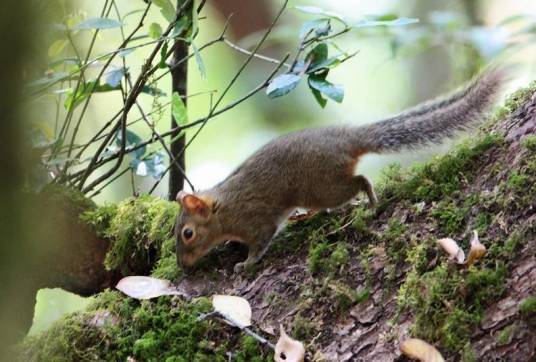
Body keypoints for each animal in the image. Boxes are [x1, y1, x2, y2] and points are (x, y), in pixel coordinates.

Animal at [175, 68, 506, 272]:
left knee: (360, 182)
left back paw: (370, 203)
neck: (224, 206)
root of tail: (349, 139)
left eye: (188, 233)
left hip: (324, 187)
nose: (182, 265)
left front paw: (246, 263)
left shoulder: (256, 220)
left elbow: (260, 242)